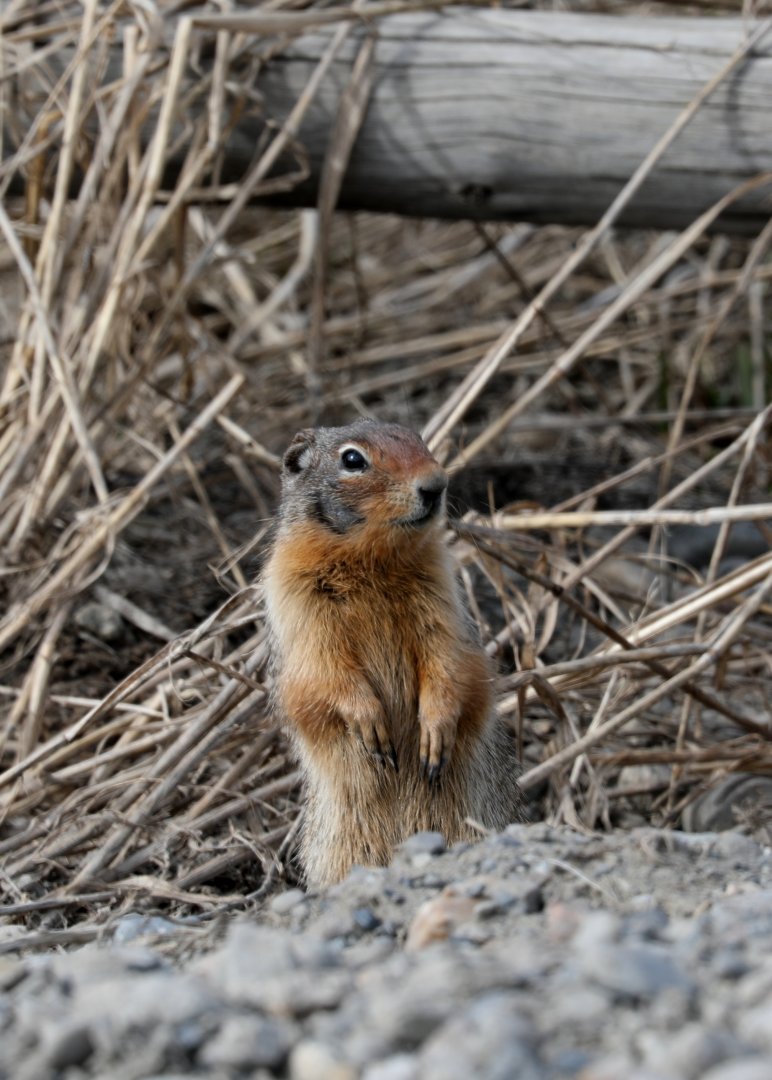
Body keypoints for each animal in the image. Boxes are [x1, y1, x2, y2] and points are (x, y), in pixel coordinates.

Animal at [263, 418, 522, 886]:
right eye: (352, 459)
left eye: (418, 439)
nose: (436, 484)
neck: (370, 561)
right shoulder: (297, 602)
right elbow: (324, 670)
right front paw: (370, 723)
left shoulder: (440, 595)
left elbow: (446, 657)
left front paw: (434, 734)